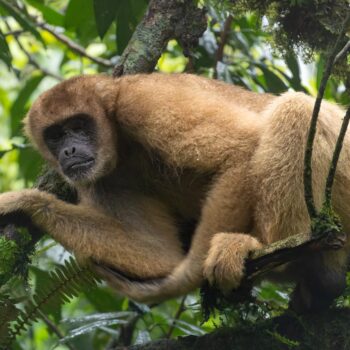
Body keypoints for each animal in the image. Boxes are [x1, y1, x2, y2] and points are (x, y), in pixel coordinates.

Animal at [0, 74, 350, 312]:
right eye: (55, 135)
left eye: (78, 126)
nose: (69, 151)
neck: (118, 137)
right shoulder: (100, 178)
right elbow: (157, 252)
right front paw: (27, 202)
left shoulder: (142, 101)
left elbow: (241, 149)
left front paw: (189, 274)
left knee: (298, 107)